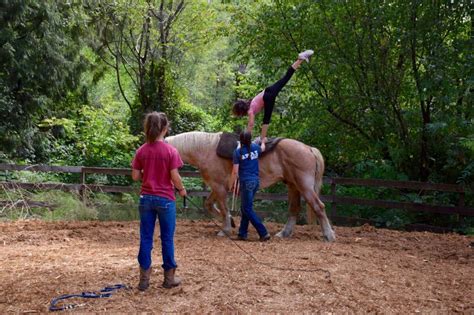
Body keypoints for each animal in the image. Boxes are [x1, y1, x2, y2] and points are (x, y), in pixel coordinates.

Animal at [165, 131, 336, 242]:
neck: (206, 150)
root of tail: (308, 148)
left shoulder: (219, 187)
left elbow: (223, 207)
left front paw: (225, 229)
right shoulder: (218, 187)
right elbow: (209, 205)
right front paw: (231, 222)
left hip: (305, 186)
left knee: (319, 206)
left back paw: (329, 235)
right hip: (293, 186)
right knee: (294, 209)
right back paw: (284, 233)